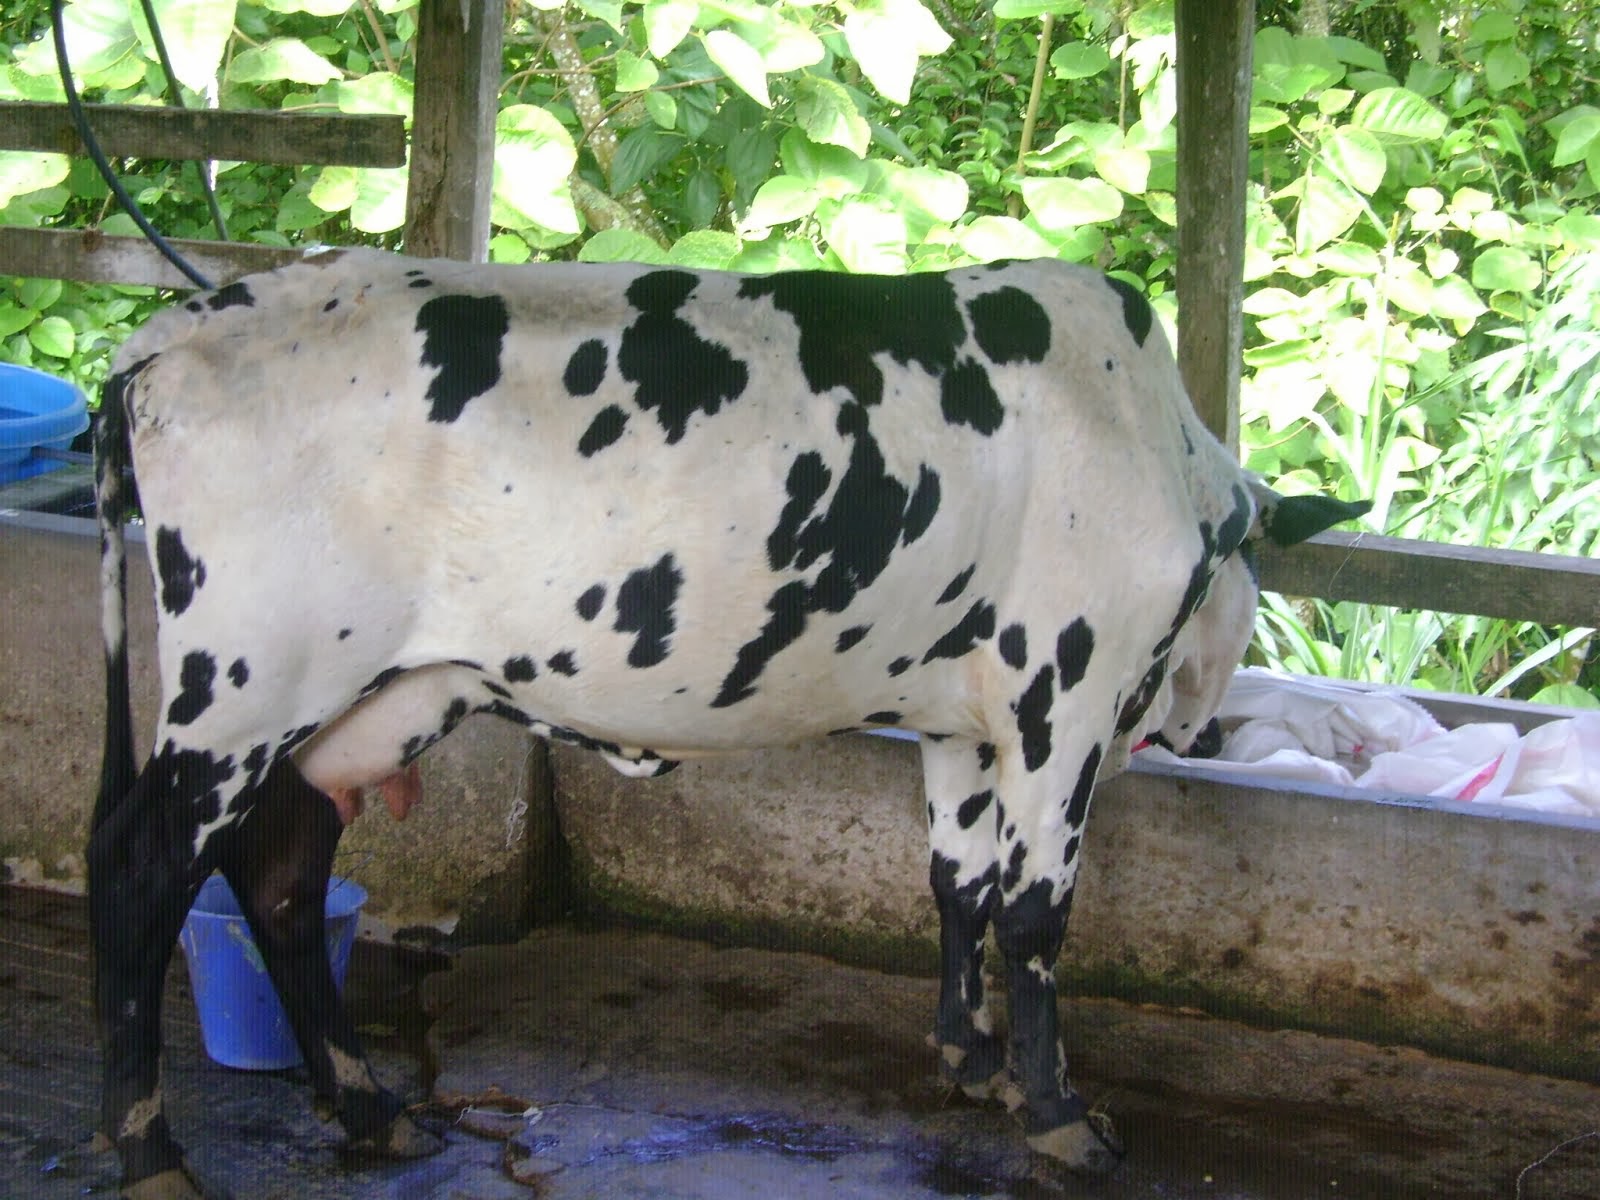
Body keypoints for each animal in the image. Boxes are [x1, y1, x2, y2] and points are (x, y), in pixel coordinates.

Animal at [87, 249, 1363, 1196]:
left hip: (362, 700)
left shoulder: (960, 719)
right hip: (247, 687)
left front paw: (969, 1057)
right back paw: (150, 1152)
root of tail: (166, 336)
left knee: (282, 870)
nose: (1197, 730)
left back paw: (366, 1107)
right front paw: (1059, 1116)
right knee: (141, 867)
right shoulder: (1065, 700)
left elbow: (958, 886)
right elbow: (1035, 916)